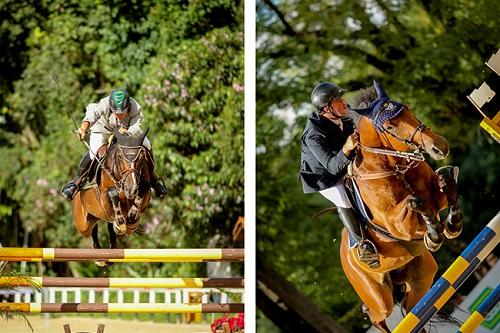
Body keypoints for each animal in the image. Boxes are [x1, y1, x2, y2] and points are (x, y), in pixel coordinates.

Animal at [342, 81, 462, 332]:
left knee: (410, 308)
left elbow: (447, 178)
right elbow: (415, 202)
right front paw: (434, 235)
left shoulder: (436, 196)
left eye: (407, 108)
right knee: (377, 316)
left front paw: (452, 225)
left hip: (420, 277)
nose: (440, 147)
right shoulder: (397, 224)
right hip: (378, 297)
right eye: (390, 125)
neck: (392, 165)